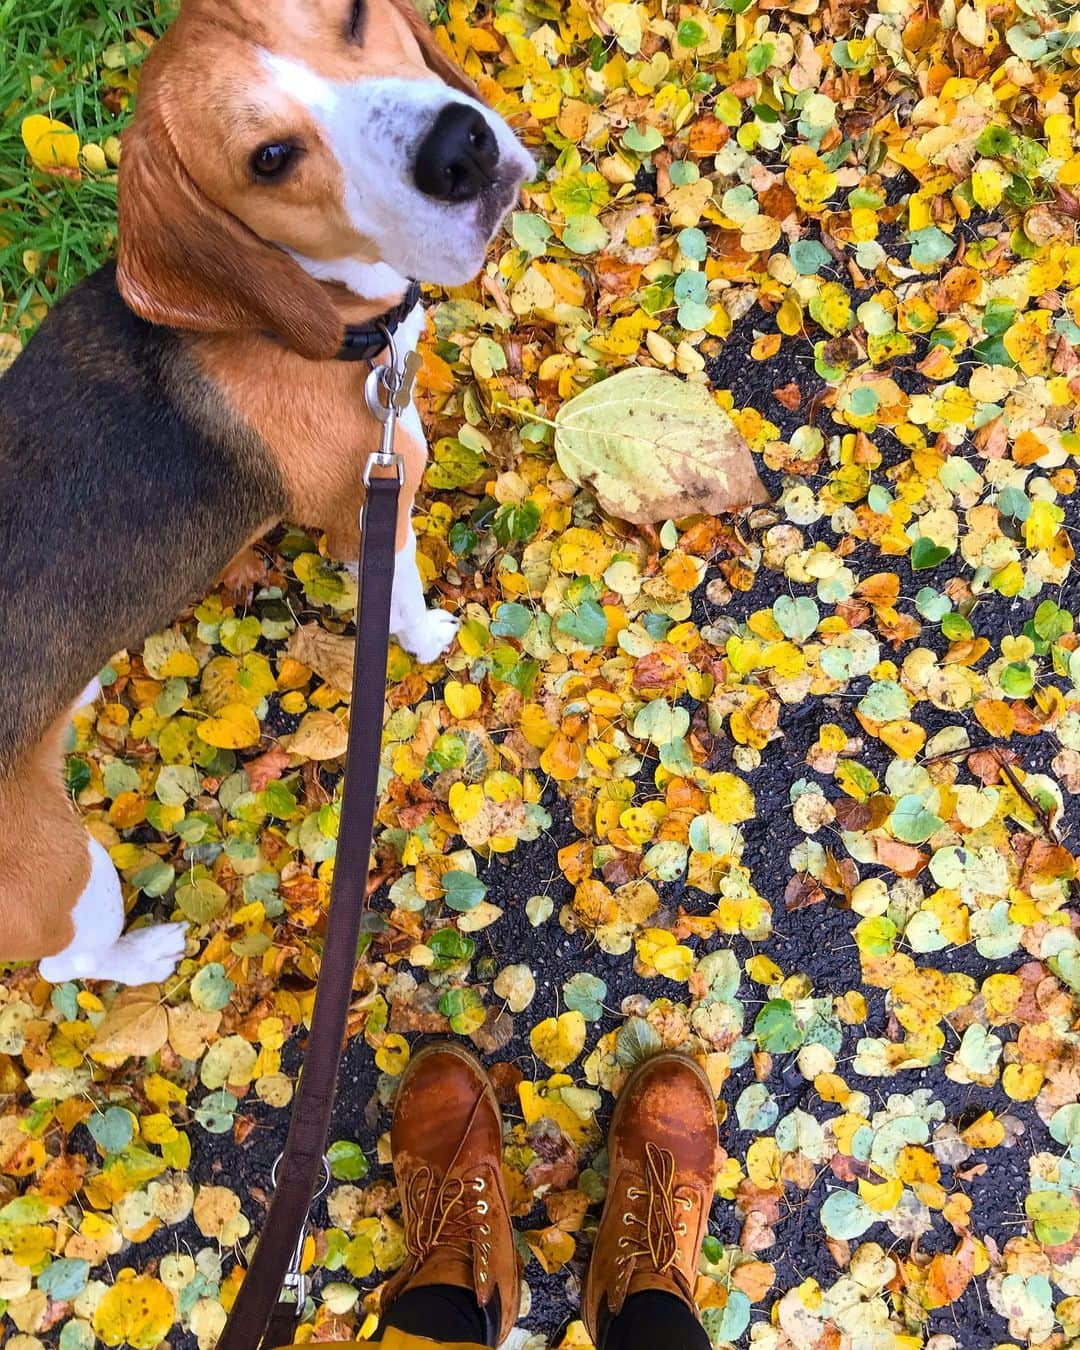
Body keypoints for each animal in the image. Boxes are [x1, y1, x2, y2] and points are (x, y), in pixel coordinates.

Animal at [0, 2, 531, 993]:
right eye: (270, 159)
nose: (460, 150)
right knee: (67, 963)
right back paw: (144, 952)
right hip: (62, 872)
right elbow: (401, 596)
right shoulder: (372, 509)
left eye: (354, 16)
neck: (296, 315)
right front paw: (430, 636)